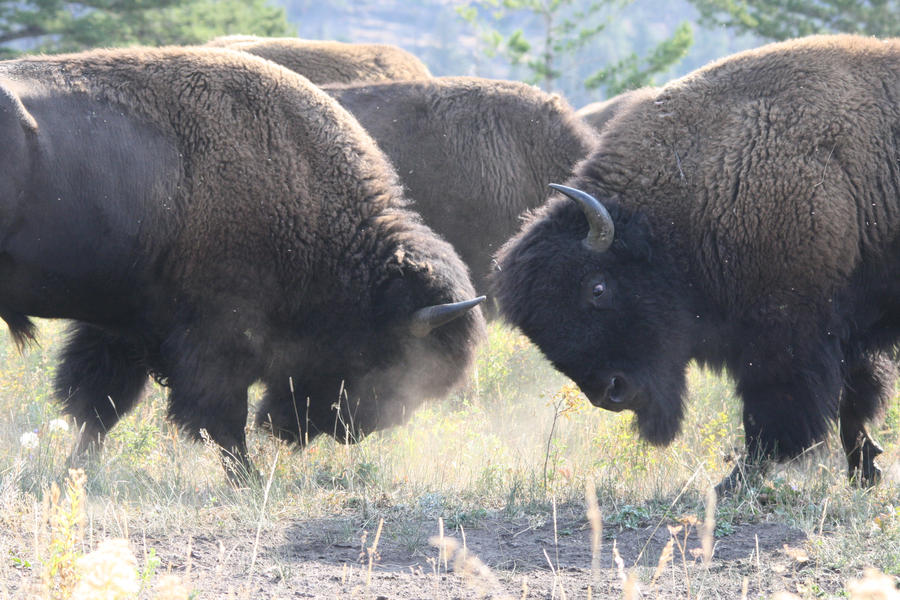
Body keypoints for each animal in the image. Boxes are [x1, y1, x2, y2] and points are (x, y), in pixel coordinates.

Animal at [0, 45, 486, 478]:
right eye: (389, 361)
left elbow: (99, 406)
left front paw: (77, 472)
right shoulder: (220, 334)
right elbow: (220, 420)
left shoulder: (123, 325)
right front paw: (246, 479)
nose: (350, 431)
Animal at [492, 34, 900, 492]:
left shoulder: (788, 337)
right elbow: (853, 402)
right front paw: (864, 471)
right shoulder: (845, 330)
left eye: (597, 287)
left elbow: (775, 417)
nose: (612, 393)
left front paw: (732, 483)